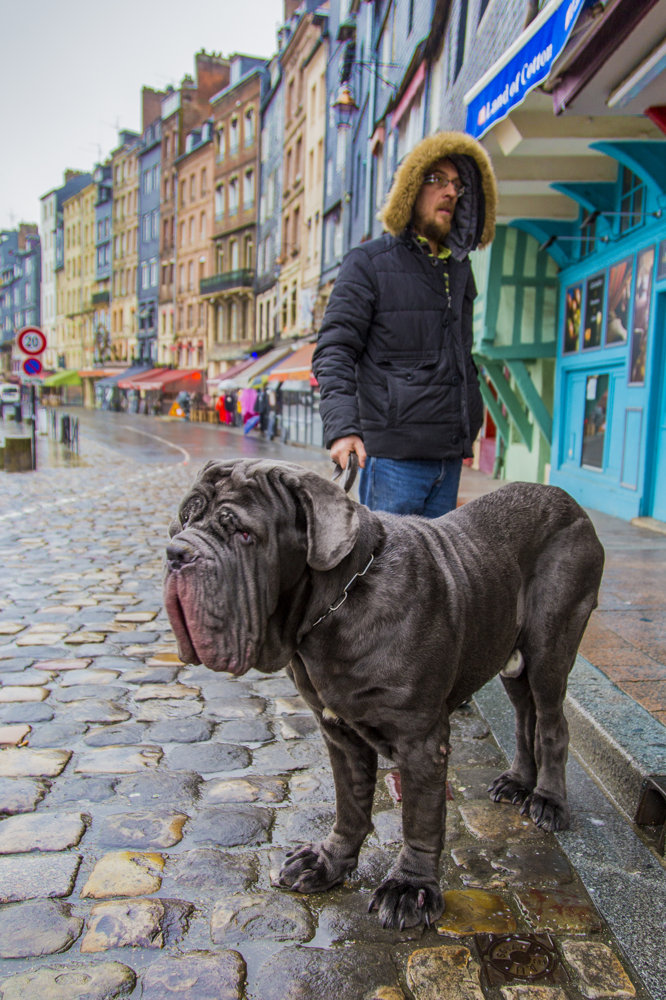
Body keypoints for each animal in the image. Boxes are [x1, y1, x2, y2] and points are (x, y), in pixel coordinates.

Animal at [165, 458, 600, 928]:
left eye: (242, 532)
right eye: (185, 519)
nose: (176, 553)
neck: (335, 605)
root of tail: (569, 501)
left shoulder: (421, 740)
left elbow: (421, 818)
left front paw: (410, 886)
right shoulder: (338, 732)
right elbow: (350, 804)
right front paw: (328, 861)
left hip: (549, 647)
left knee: (552, 724)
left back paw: (549, 801)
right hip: (509, 658)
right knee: (524, 718)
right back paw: (519, 782)